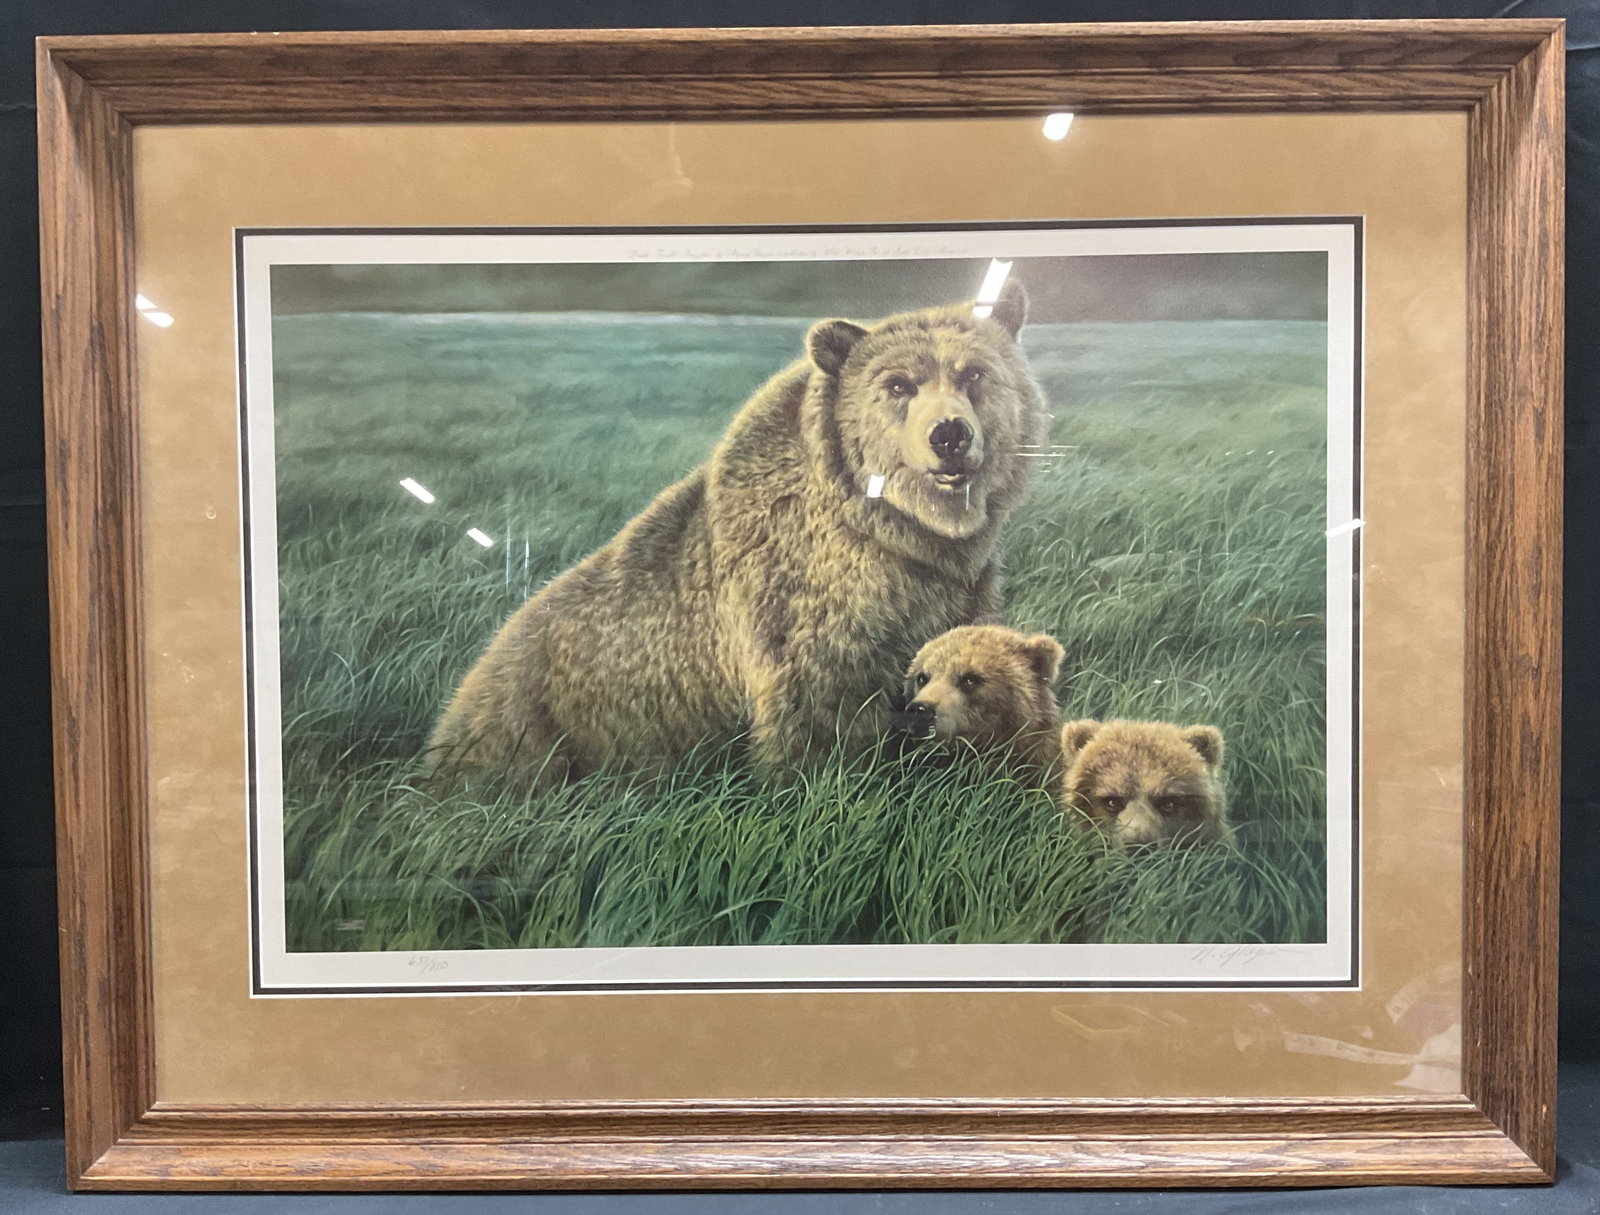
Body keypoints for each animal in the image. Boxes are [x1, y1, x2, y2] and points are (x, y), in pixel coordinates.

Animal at [424, 278, 1048, 783]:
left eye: (974, 373)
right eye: (898, 385)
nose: (949, 435)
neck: (899, 533)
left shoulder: (952, 590)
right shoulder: (800, 604)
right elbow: (819, 717)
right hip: (532, 728)